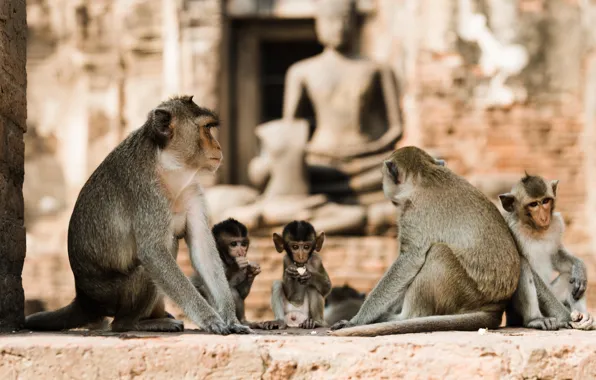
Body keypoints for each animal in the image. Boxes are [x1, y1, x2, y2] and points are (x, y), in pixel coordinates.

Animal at [23, 96, 249, 334]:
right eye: (206, 128)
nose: (218, 146)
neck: (168, 167)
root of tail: (84, 299)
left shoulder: (192, 191)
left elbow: (203, 250)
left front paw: (231, 318)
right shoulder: (146, 192)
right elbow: (153, 252)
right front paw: (210, 319)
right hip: (111, 294)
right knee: (145, 271)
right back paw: (135, 323)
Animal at [330, 145, 520, 336]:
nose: (383, 186)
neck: (424, 174)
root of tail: (495, 307)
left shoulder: (412, 213)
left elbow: (409, 260)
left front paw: (356, 320)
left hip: (466, 293)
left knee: (438, 252)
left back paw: (404, 317)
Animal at [500, 174, 592, 330]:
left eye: (545, 201)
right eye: (533, 204)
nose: (544, 217)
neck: (535, 228)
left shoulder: (556, 224)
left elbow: (556, 256)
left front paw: (580, 268)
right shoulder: (512, 230)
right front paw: (566, 317)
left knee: (569, 277)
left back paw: (585, 318)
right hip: (517, 313)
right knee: (523, 265)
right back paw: (535, 320)